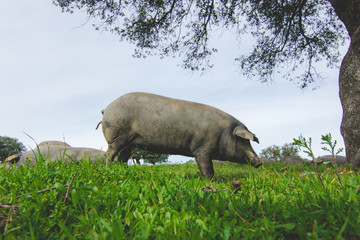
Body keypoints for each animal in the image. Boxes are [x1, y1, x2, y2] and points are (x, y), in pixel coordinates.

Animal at [100, 92, 262, 178]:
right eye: (243, 141)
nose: (260, 162)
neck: (224, 133)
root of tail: (106, 108)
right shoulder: (202, 148)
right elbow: (206, 167)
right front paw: (210, 181)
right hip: (116, 136)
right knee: (110, 154)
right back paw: (108, 170)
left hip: (129, 143)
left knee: (122, 158)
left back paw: (123, 172)